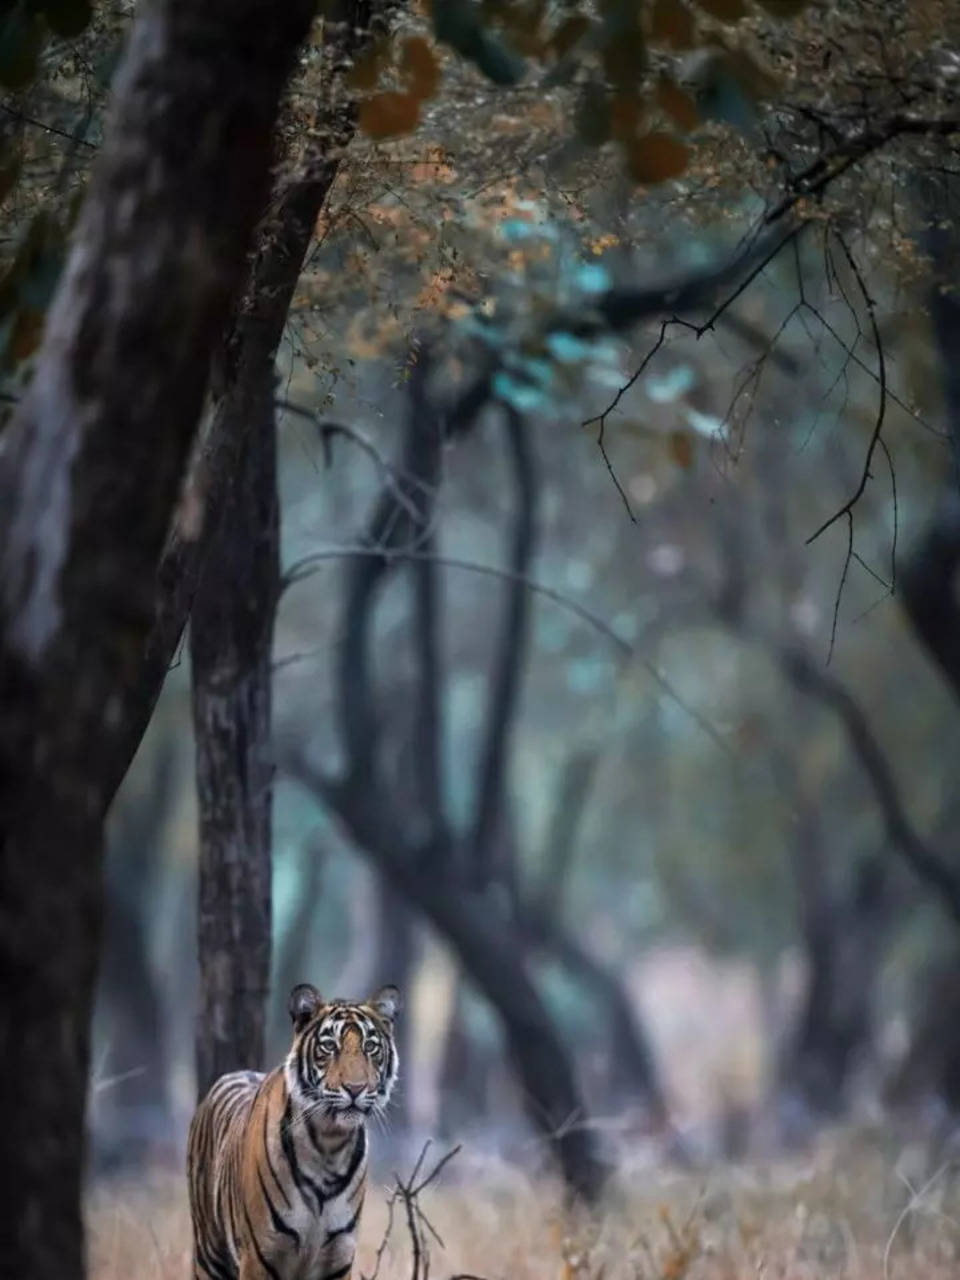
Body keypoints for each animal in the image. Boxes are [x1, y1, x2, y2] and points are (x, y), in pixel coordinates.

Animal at [185, 983, 399, 1274]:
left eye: (370, 1047)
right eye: (329, 1046)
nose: (356, 1089)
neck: (330, 1145)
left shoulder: (338, 1258)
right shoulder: (259, 1256)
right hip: (210, 1254)